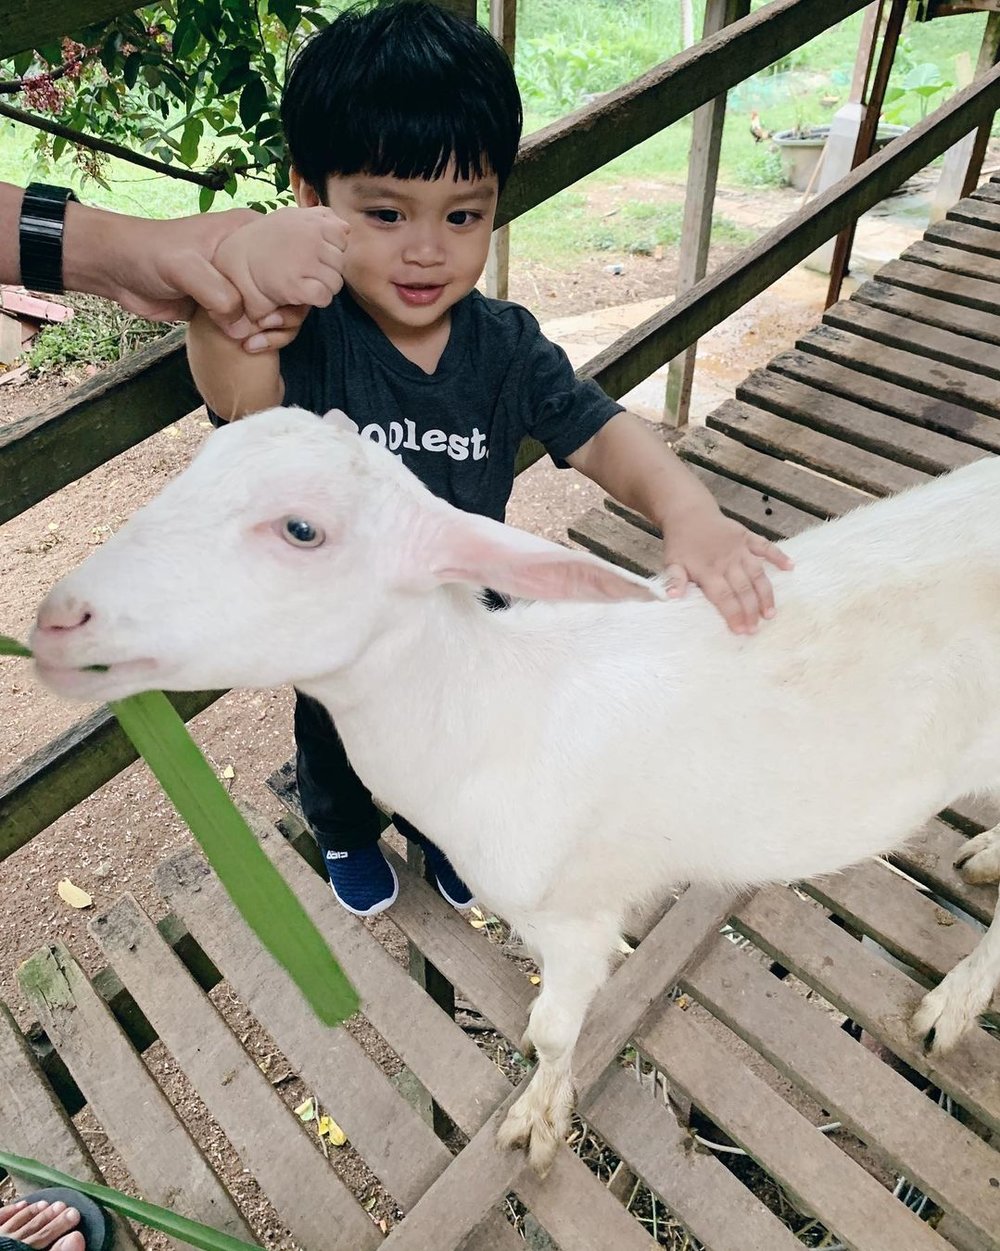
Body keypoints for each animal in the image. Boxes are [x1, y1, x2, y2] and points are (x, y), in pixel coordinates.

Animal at [31, 406, 1000, 1177]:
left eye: (302, 529)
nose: (55, 620)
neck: (490, 715)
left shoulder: (572, 913)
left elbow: (555, 1028)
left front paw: (537, 1118)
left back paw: (949, 1007)